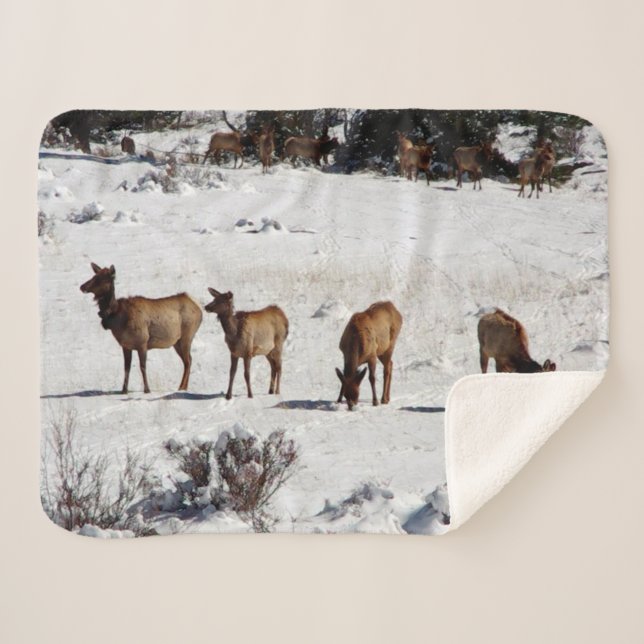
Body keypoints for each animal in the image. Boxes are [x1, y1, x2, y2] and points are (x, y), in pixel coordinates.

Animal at [80, 263, 203, 393]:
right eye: (94, 275)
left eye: (102, 279)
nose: (82, 286)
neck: (118, 319)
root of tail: (198, 307)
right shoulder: (126, 345)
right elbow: (126, 368)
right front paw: (124, 390)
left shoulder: (142, 342)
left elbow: (142, 366)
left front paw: (147, 389)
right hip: (177, 342)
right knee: (188, 360)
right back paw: (183, 388)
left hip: (187, 336)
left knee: (188, 361)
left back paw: (182, 388)